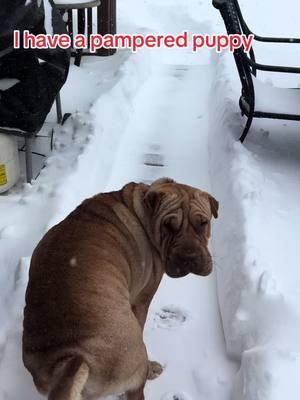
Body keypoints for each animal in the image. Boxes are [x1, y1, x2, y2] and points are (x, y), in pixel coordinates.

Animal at [21, 178, 218, 400]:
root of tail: (70, 357)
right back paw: (150, 369)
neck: (145, 210)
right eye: (168, 226)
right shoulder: (141, 300)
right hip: (134, 355)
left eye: (203, 223)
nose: (189, 257)